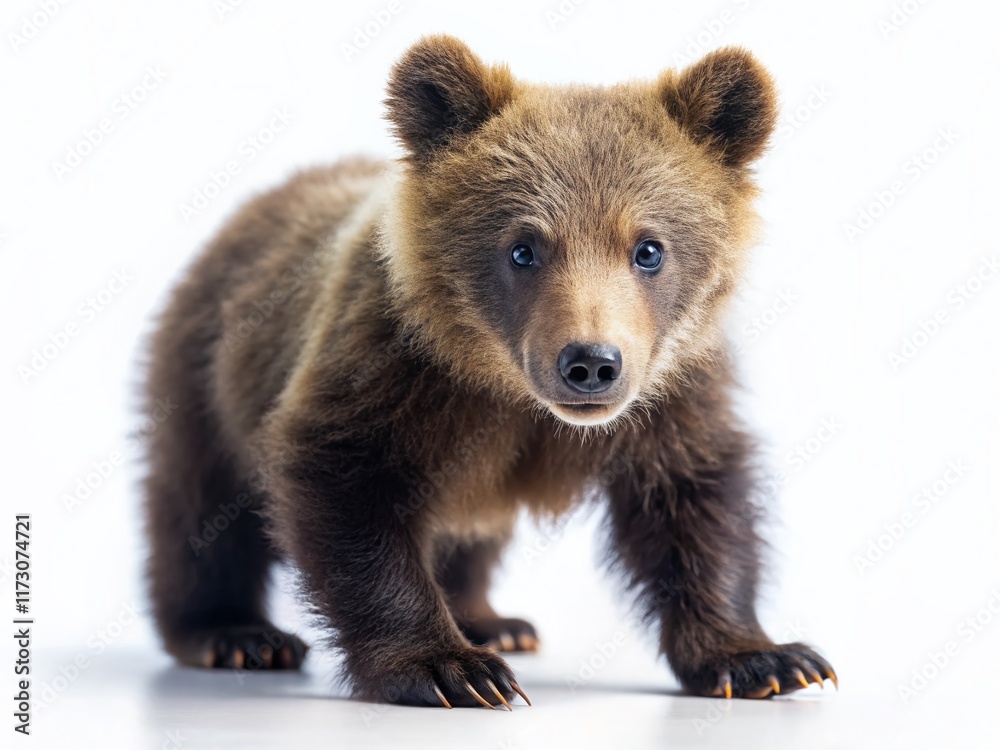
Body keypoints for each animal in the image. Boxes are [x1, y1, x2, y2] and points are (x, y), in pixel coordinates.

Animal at [142, 35, 836, 708]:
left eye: (648, 249)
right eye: (523, 248)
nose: (591, 363)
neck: (505, 390)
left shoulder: (672, 390)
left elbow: (693, 502)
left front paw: (763, 659)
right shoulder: (387, 368)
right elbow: (348, 491)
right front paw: (450, 669)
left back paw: (492, 620)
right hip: (202, 369)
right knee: (199, 506)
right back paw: (233, 634)